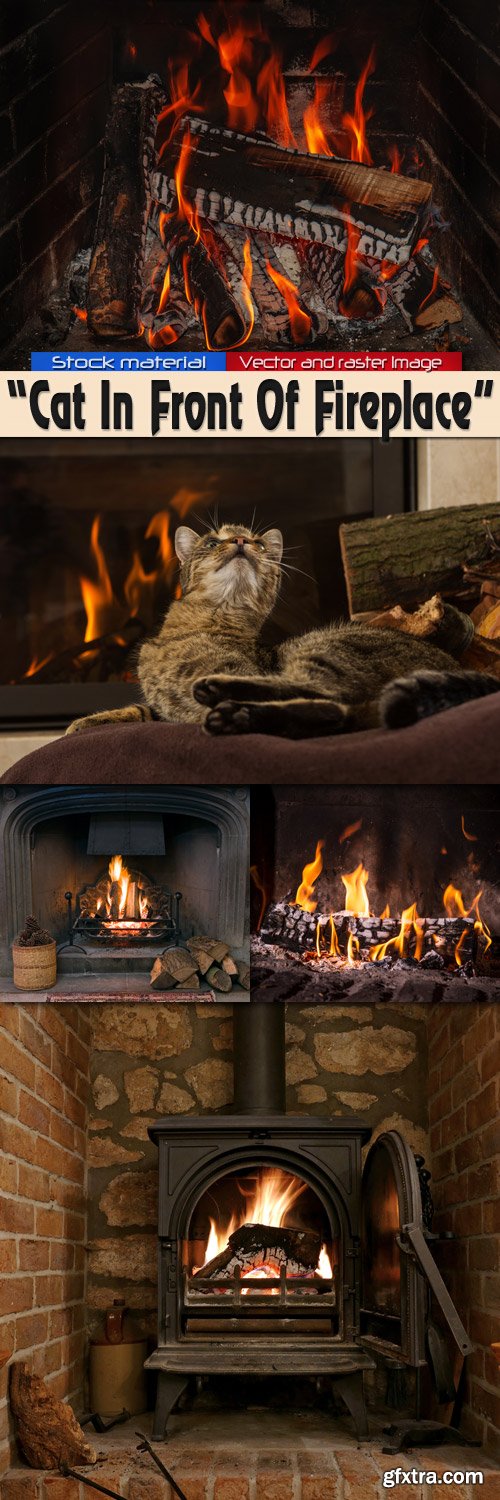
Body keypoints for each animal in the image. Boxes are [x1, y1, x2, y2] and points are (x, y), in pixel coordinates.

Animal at [66, 525, 498, 741]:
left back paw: (225, 700)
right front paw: (85, 723)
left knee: (326, 700)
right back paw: (235, 714)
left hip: (322, 647)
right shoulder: (163, 710)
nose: (241, 541)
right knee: (334, 712)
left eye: (257, 542)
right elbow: (140, 711)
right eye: (213, 541)